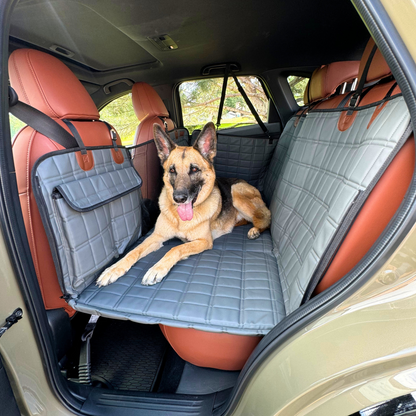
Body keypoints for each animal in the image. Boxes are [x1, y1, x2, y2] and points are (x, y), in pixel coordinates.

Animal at [97, 122, 272, 288]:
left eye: (194, 169)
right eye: (172, 170)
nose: (179, 198)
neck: (180, 220)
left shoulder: (203, 241)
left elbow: (176, 248)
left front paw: (157, 268)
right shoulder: (156, 237)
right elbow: (134, 251)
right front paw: (113, 269)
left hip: (236, 191)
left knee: (266, 219)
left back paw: (255, 230)